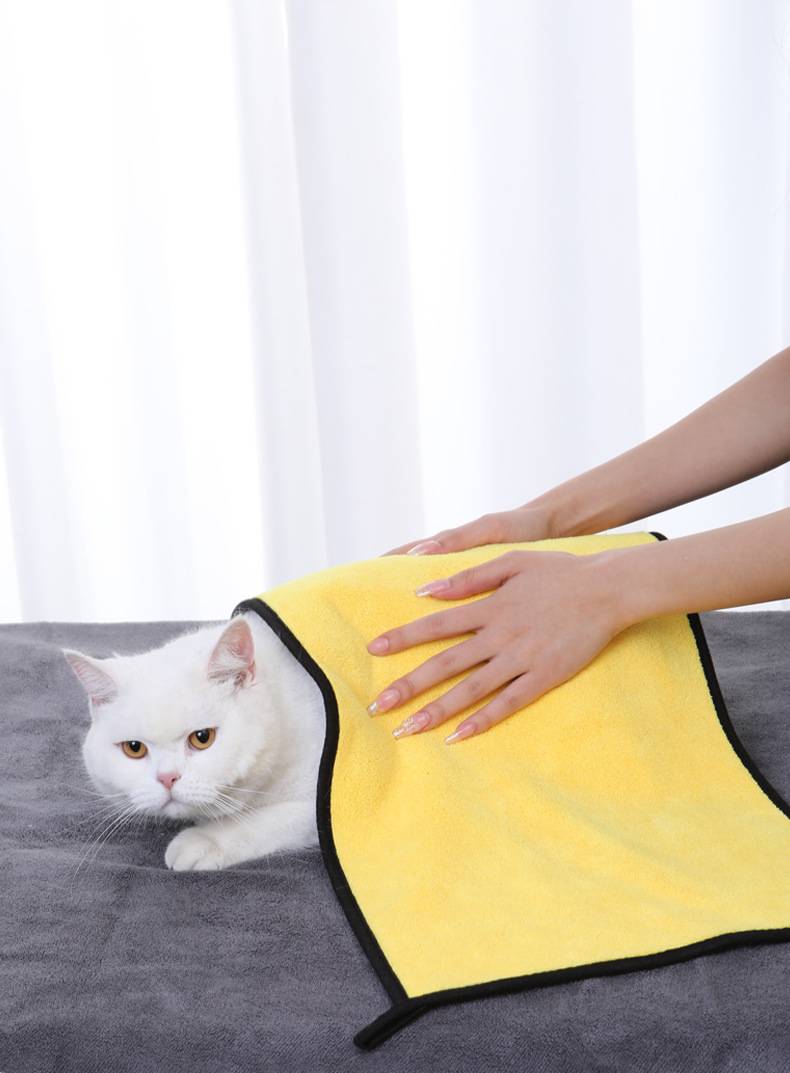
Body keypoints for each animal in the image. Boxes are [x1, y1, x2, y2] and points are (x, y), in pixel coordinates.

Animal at [63, 612, 325, 871]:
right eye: (134, 748)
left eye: (202, 738)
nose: (167, 778)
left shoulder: (320, 802)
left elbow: (262, 820)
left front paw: (203, 840)